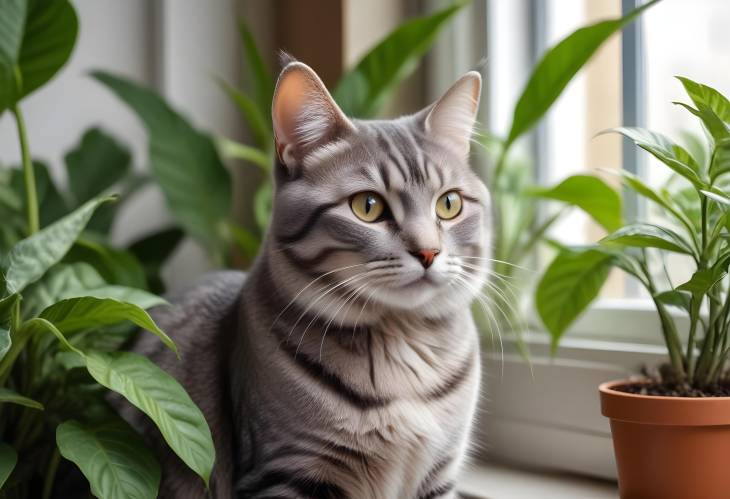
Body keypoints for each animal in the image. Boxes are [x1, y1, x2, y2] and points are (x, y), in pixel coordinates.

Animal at [125, 59, 490, 499]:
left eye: (449, 204)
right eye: (368, 206)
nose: (429, 252)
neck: (401, 345)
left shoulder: (439, 476)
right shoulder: (287, 470)